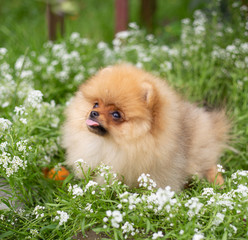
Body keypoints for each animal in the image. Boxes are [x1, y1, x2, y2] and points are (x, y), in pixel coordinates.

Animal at [62, 63, 229, 191]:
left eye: (116, 114)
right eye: (96, 104)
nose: (93, 113)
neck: (110, 144)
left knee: (211, 165)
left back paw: (218, 184)